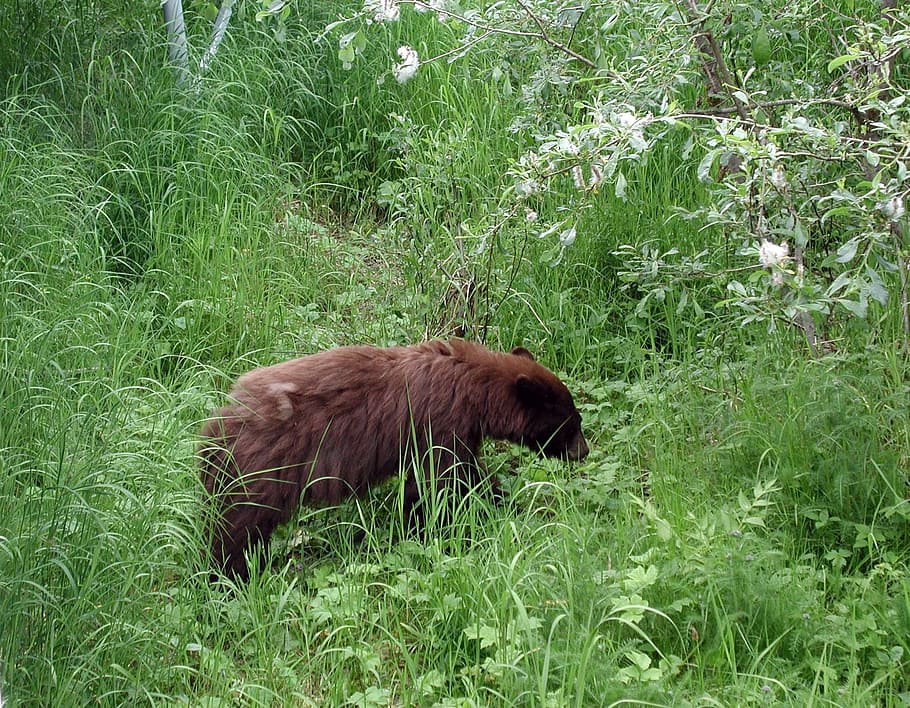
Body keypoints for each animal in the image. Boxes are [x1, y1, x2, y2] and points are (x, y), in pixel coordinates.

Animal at [200, 338, 592, 580]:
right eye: (572, 421)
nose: (584, 452)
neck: (471, 386)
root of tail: (218, 425)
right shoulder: (439, 423)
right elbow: (444, 482)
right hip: (261, 472)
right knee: (237, 530)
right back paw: (231, 576)